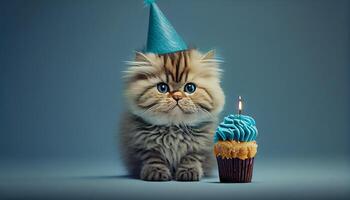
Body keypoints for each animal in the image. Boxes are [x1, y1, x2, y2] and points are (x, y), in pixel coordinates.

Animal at [119, 48, 224, 181]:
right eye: (162, 88)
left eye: (190, 88)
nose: (177, 96)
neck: (174, 127)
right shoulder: (143, 145)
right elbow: (153, 159)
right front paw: (156, 172)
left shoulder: (201, 146)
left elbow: (191, 158)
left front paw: (188, 172)